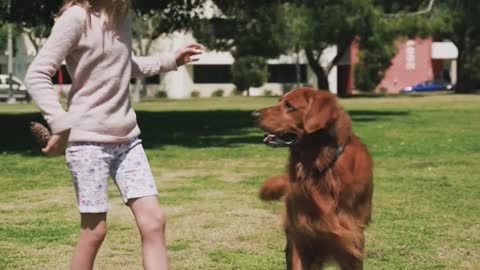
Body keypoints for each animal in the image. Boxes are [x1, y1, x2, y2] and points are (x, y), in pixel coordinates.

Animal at [253, 87, 374, 268]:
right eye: (279, 101)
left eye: (289, 106)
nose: (253, 114)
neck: (319, 165)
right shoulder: (301, 234)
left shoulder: (351, 237)